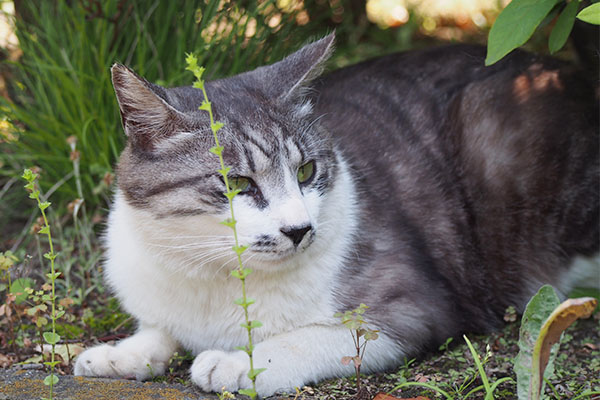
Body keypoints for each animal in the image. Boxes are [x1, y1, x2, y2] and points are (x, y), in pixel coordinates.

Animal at [72, 32, 596, 396]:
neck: (212, 273)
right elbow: (158, 331)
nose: (299, 229)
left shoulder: (407, 308)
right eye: (237, 184)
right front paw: (118, 355)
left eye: (306, 170)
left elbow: (308, 338)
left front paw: (239, 362)